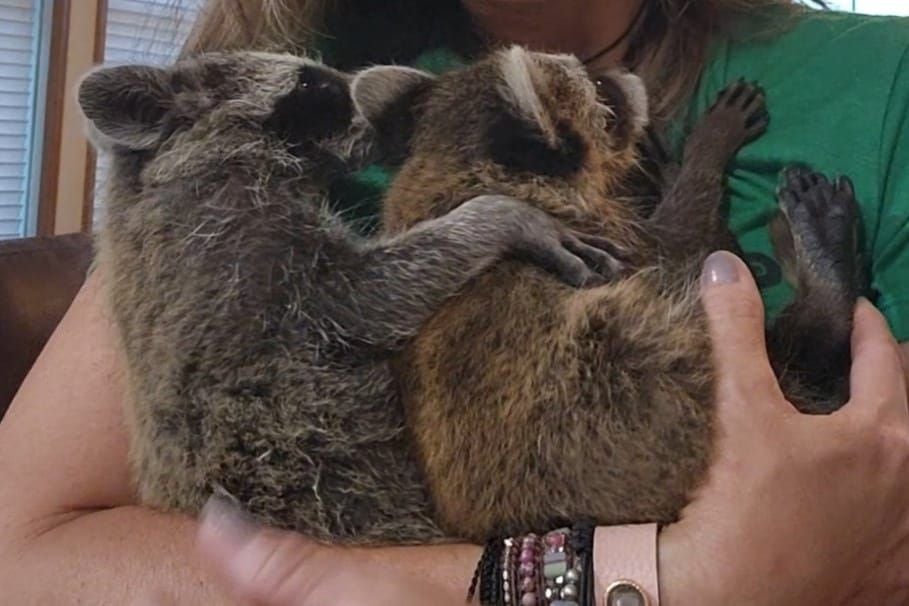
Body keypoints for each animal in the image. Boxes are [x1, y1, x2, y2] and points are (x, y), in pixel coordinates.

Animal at [352, 46, 860, 540]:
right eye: (598, 85)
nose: (624, 72)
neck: (452, 160)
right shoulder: (609, 239)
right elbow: (692, 232)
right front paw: (705, 150)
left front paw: (671, 164)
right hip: (649, 373)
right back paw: (825, 293)